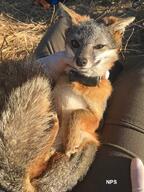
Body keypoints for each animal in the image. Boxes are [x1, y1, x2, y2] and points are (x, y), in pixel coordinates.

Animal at [0, 3, 134, 192]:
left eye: (99, 46)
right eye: (75, 43)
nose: (81, 61)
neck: (80, 84)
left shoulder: (96, 120)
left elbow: (77, 113)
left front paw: (71, 141)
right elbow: (73, 112)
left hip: (91, 143)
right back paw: (53, 124)